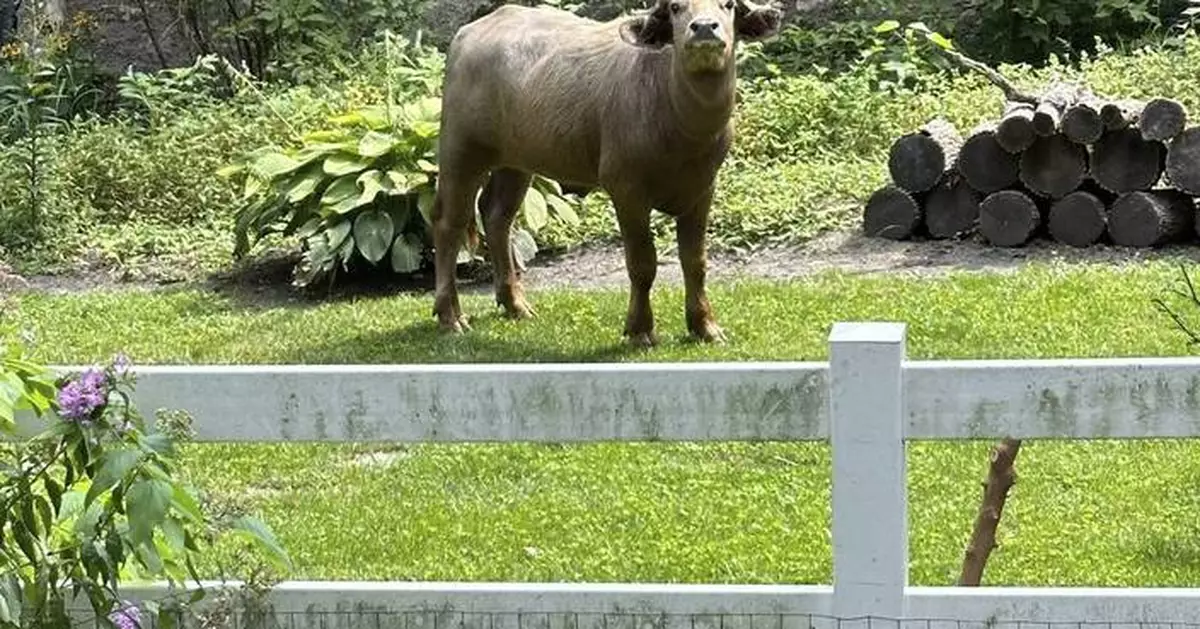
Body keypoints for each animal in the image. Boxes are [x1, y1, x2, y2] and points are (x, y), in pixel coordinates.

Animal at [427, 0, 782, 345]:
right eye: (676, 8)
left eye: (728, 5)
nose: (705, 28)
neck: (682, 125)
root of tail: (469, 33)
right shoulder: (626, 189)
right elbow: (642, 264)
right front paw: (640, 330)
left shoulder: (703, 189)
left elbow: (695, 262)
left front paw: (705, 326)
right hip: (461, 150)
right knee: (448, 222)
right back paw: (450, 315)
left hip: (515, 161)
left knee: (497, 215)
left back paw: (515, 304)